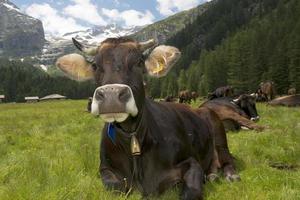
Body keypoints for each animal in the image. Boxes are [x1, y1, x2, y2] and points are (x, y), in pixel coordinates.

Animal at [55, 38, 239, 200]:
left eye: (139, 62)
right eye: (94, 65)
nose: (111, 95)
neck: (131, 136)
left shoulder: (191, 162)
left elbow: (191, 191)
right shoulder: (105, 169)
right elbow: (117, 188)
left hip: (218, 131)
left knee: (227, 158)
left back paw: (231, 175)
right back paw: (213, 175)